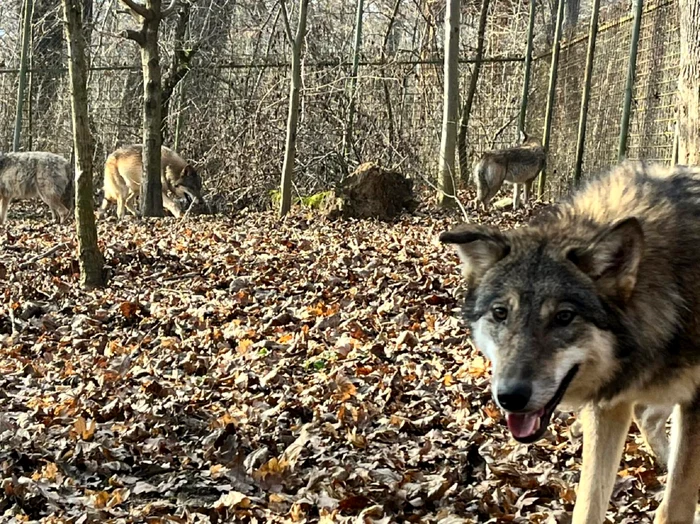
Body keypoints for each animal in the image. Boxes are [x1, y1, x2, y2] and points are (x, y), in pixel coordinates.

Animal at [442, 161, 700, 524]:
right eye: (500, 313)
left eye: (564, 317)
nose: (510, 397)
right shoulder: (609, 404)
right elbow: (588, 506)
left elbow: (673, 508)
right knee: (647, 416)